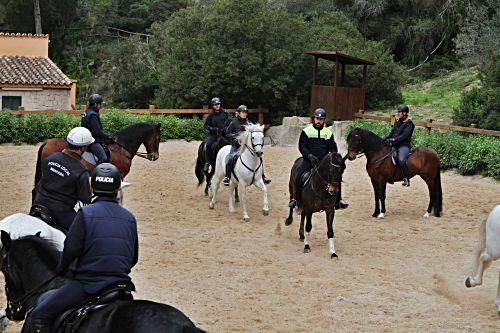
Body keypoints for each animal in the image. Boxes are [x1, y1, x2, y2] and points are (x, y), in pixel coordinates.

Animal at [32, 120, 161, 200]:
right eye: (158, 138)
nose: (155, 156)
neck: (122, 148)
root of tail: (47, 142)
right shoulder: (120, 176)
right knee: (36, 190)